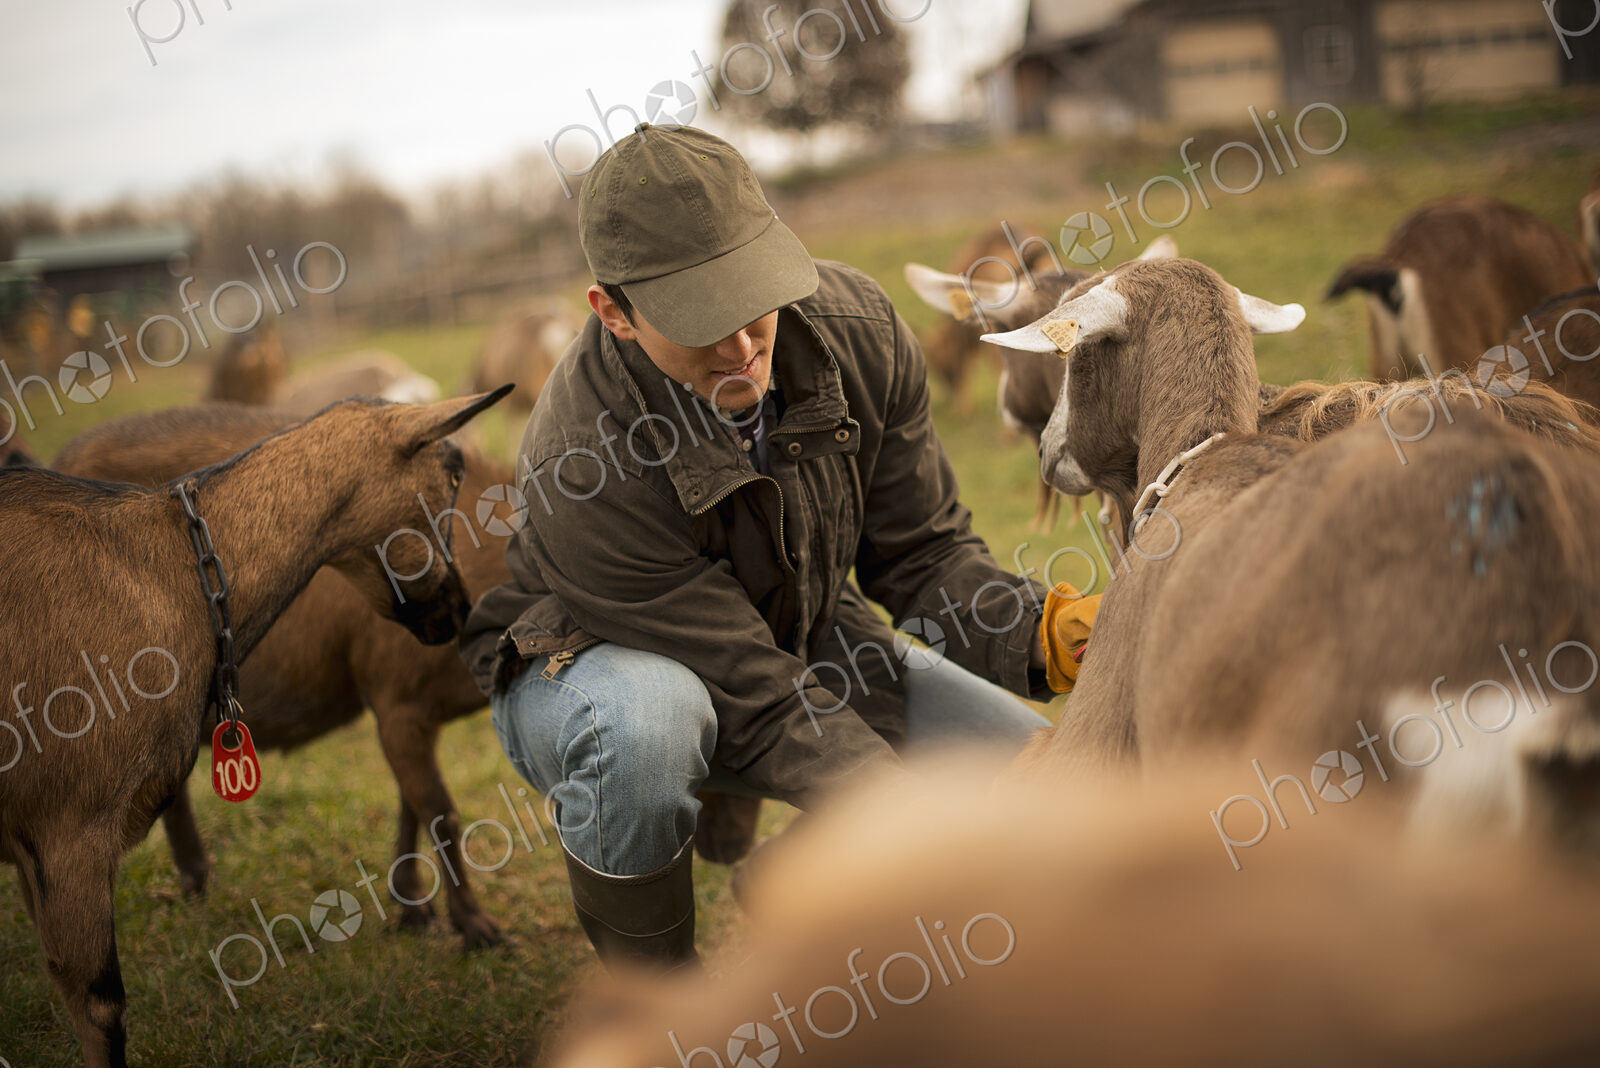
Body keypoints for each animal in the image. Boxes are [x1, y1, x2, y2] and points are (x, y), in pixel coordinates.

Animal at [0, 386, 510, 1067]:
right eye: (451, 476)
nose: (455, 611)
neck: (166, 562)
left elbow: (414, 804)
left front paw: (413, 908)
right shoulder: (66, 832)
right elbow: (441, 811)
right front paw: (475, 927)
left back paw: (197, 880)